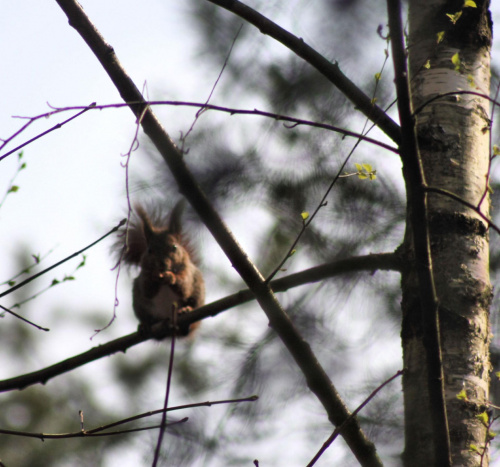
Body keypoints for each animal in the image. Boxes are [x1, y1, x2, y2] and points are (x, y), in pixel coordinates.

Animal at [119, 201, 205, 336]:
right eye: (149, 250)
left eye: (174, 247)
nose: (162, 264)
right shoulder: (143, 275)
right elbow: (147, 289)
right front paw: (155, 276)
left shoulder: (188, 272)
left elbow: (184, 286)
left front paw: (171, 277)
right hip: (139, 303)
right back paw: (146, 324)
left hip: (198, 292)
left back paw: (186, 311)